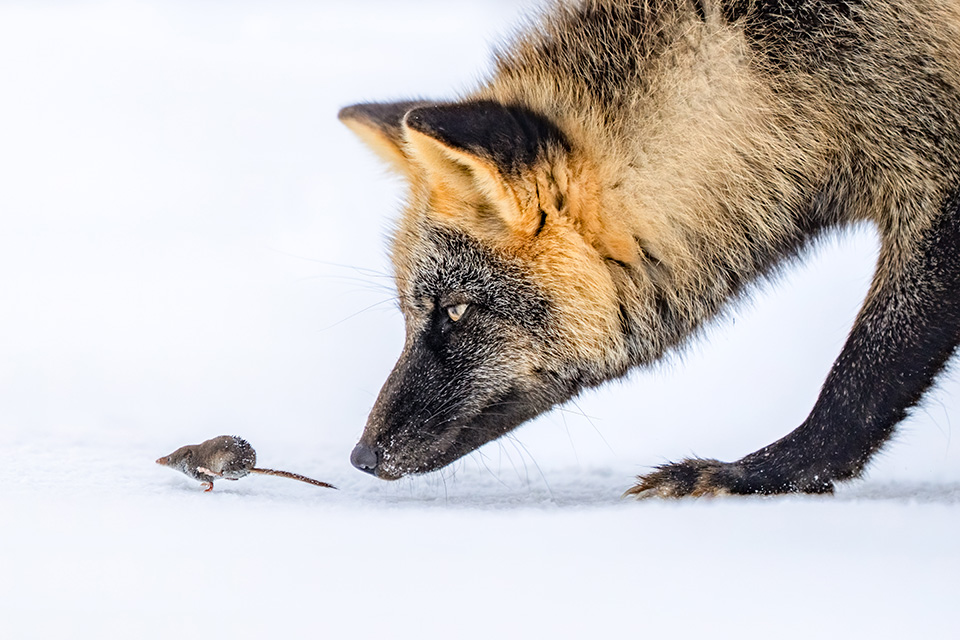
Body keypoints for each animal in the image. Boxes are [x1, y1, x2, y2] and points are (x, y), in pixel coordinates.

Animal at [336, 0, 960, 498]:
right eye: (410, 313)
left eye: (457, 309)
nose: (361, 456)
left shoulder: (941, 189)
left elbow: (861, 377)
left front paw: (755, 477)